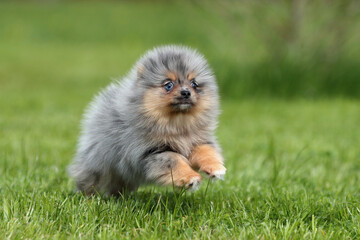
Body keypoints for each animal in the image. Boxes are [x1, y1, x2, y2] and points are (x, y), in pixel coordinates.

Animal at [67, 46, 225, 196]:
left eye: (194, 84)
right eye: (168, 85)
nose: (186, 92)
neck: (177, 124)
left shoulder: (197, 140)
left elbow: (206, 151)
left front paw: (216, 168)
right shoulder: (153, 151)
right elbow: (175, 162)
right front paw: (191, 178)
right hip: (98, 162)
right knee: (91, 179)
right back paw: (87, 196)